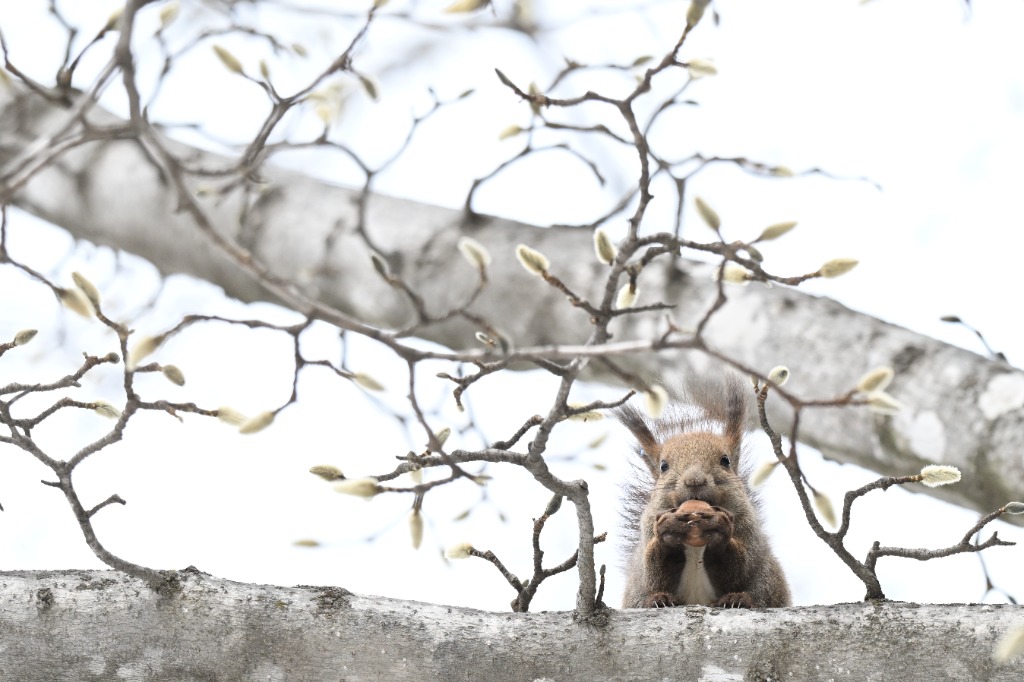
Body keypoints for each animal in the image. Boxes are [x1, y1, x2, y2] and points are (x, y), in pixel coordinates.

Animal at [616, 374, 791, 609]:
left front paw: (717, 528)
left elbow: (741, 568)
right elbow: (652, 574)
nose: (694, 481)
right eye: (663, 466)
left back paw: (738, 599)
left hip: (768, 581)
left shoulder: (749, 528)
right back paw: (658, 600)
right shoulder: (648, 528)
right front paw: (668, 530)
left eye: (725, 460)